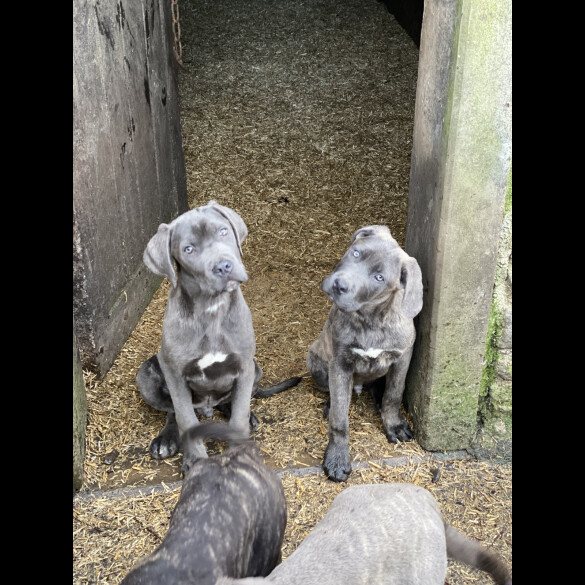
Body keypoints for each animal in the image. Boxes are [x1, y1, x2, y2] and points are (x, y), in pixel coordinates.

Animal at [137, 201, 302, 470]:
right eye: (189, 249)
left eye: (223, 232)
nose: (224, 266)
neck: (212, 309)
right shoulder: (174, 372)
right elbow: (185, 418)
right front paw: (195, 460)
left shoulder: (244, 366)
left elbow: (238, 415)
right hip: (147, 374)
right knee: (173, 412)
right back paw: (166, 439)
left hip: (256, 368)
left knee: (232, 403)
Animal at [304, 224, 422, 480]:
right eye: (355, 253)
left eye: (379, 278)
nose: (339, 285)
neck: (370, 319)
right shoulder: (340, 364)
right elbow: (339, 419)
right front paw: (337, 457)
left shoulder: (403, 358)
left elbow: (393, 394)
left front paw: (393, 424)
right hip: (317, 363)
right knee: (335, 393)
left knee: (380, 388)